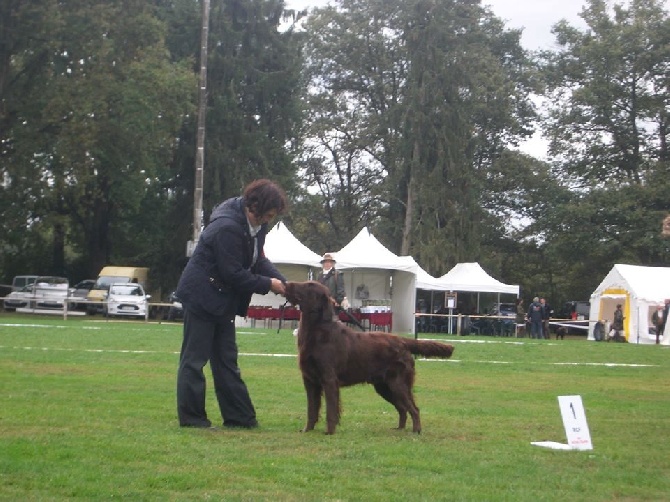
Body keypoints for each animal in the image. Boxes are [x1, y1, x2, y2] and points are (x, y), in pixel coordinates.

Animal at [284, 280, 456, 434]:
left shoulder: (329, 379)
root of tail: (402, 341)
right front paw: (307, 430)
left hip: (398, 383)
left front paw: (329, 432)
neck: (316, 331)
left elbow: (331, 410)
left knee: (414, 408)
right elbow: (311, 410)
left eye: (309, 285)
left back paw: (416, 431)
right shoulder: (309, 380)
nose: (286, 283)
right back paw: (399, 428)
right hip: (384, 386)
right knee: (402, 408)